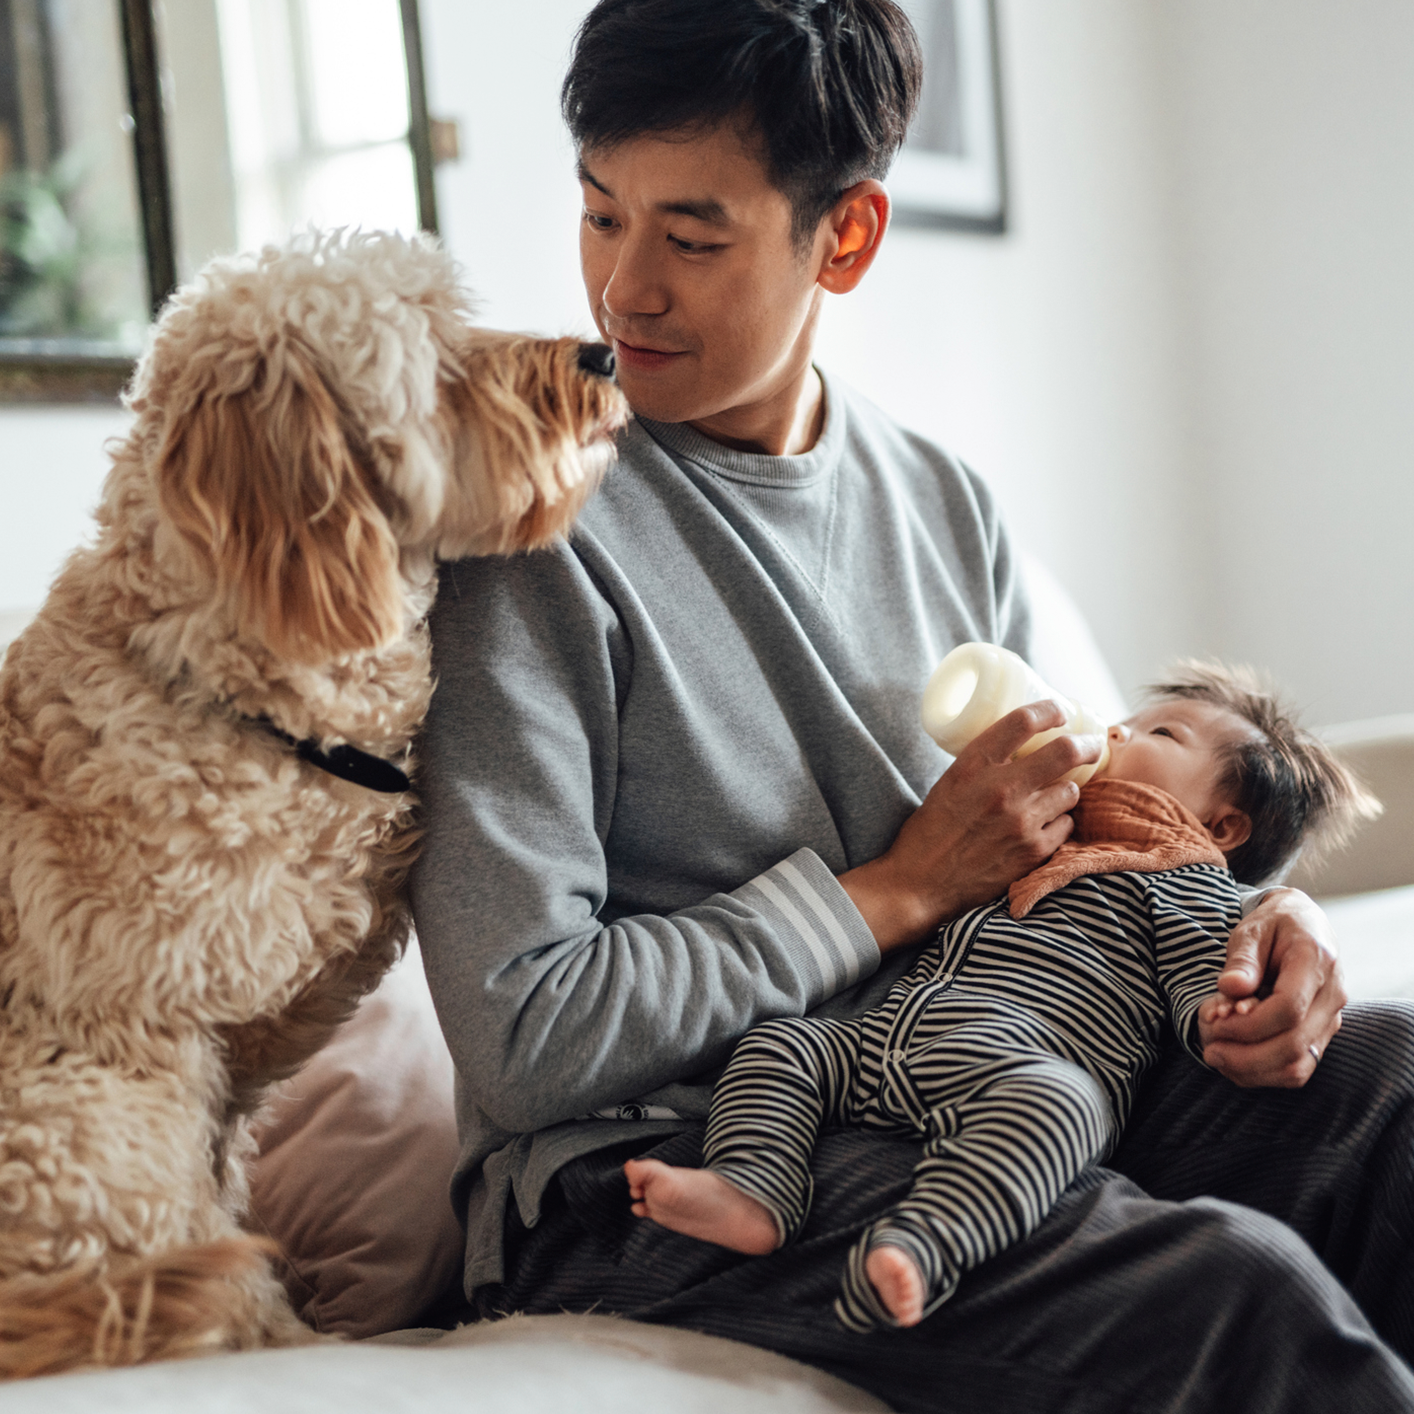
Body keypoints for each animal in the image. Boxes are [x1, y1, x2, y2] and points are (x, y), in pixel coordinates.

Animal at [0, 229, 624, 1368]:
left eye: (465, 315)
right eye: (436, 366)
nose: (600, 356)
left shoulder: (255, 1033)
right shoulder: (178, 1007)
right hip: (83, 1129)